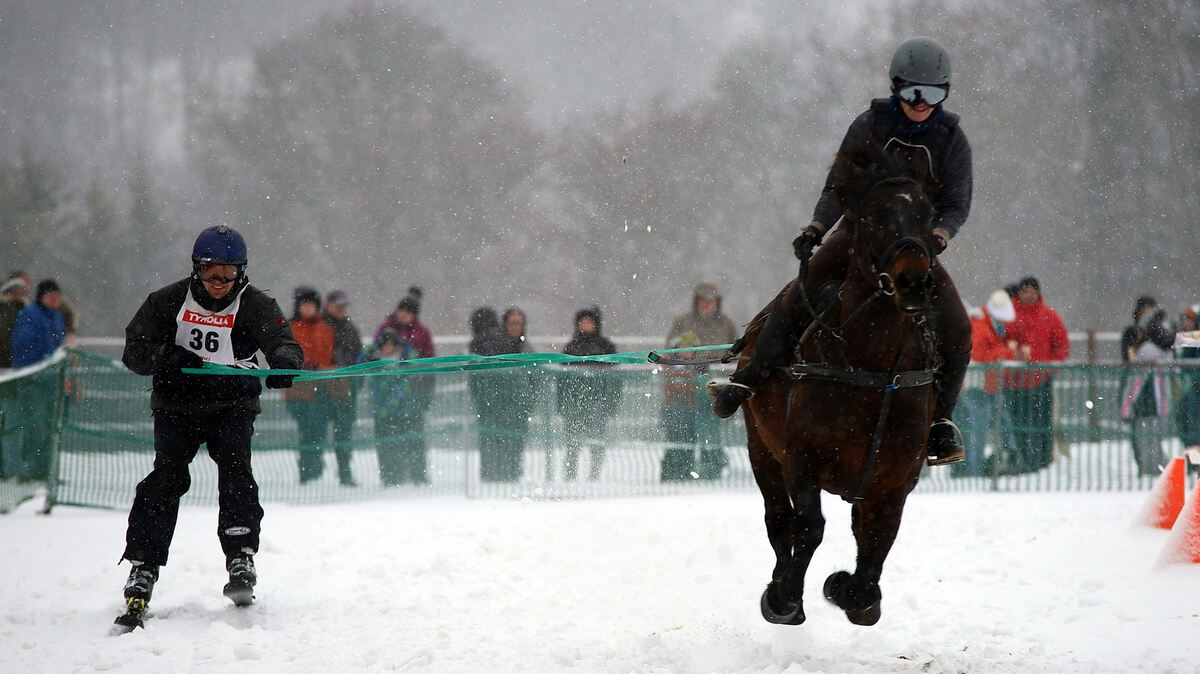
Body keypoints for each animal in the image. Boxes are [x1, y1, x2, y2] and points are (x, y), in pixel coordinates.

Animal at [734, 139, 940, 628]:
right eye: (873, 216)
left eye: (927, 215)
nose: (914, 281)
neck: (871, 366)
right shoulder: (800, 457)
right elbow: (808, 527)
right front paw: (785, 598)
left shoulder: (895, 483)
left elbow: (875, 548)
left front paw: (848, 589)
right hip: (760, 446)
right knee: (778, 518)